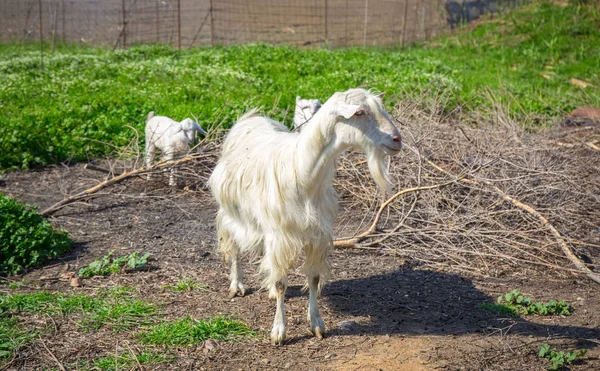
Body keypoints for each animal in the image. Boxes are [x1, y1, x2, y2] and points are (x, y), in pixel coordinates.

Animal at [209, 88, 400, 344]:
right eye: (359, 112)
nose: (397, 139)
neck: (301, 171)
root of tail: (252, 117)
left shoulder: (316, 234)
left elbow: (313, 278)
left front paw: (317, 324)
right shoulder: (280, 235)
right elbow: (281, 282)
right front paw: (279, 331)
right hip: (231, 211)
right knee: (234, 244)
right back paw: (237, 284)